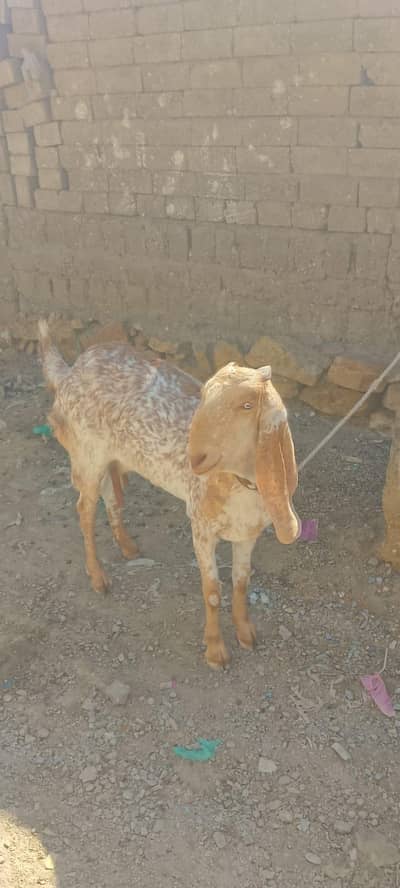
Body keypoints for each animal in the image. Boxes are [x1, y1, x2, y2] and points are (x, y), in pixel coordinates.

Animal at [38, 320, 301, 668]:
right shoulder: (201, 528)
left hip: (109, 456)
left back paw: (127, 546)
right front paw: (215, 651)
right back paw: (98, 577)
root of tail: (71, 371)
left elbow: (242, 583)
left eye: (247, 406)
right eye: (203, 395)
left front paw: (247, 634)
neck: (240, 486)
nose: (196, 457)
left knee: (111, 497)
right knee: (84, 509)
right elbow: (212, 591)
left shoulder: (248, 533)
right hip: (87, 455)